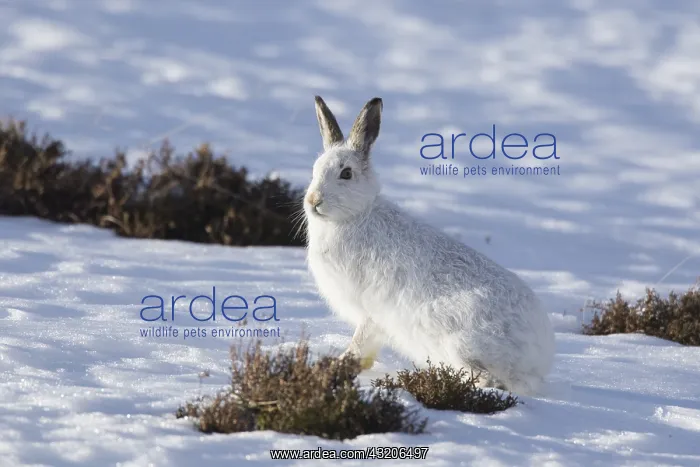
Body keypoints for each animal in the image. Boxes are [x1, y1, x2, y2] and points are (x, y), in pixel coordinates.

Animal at [303, 96, 556, 395]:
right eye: (314, 170)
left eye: (346, 173)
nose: (313, 200)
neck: (355, 216)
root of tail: (536, 359)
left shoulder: (371, 312)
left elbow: (359, 345)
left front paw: (336, 365)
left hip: (458, 342)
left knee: (487, 379)